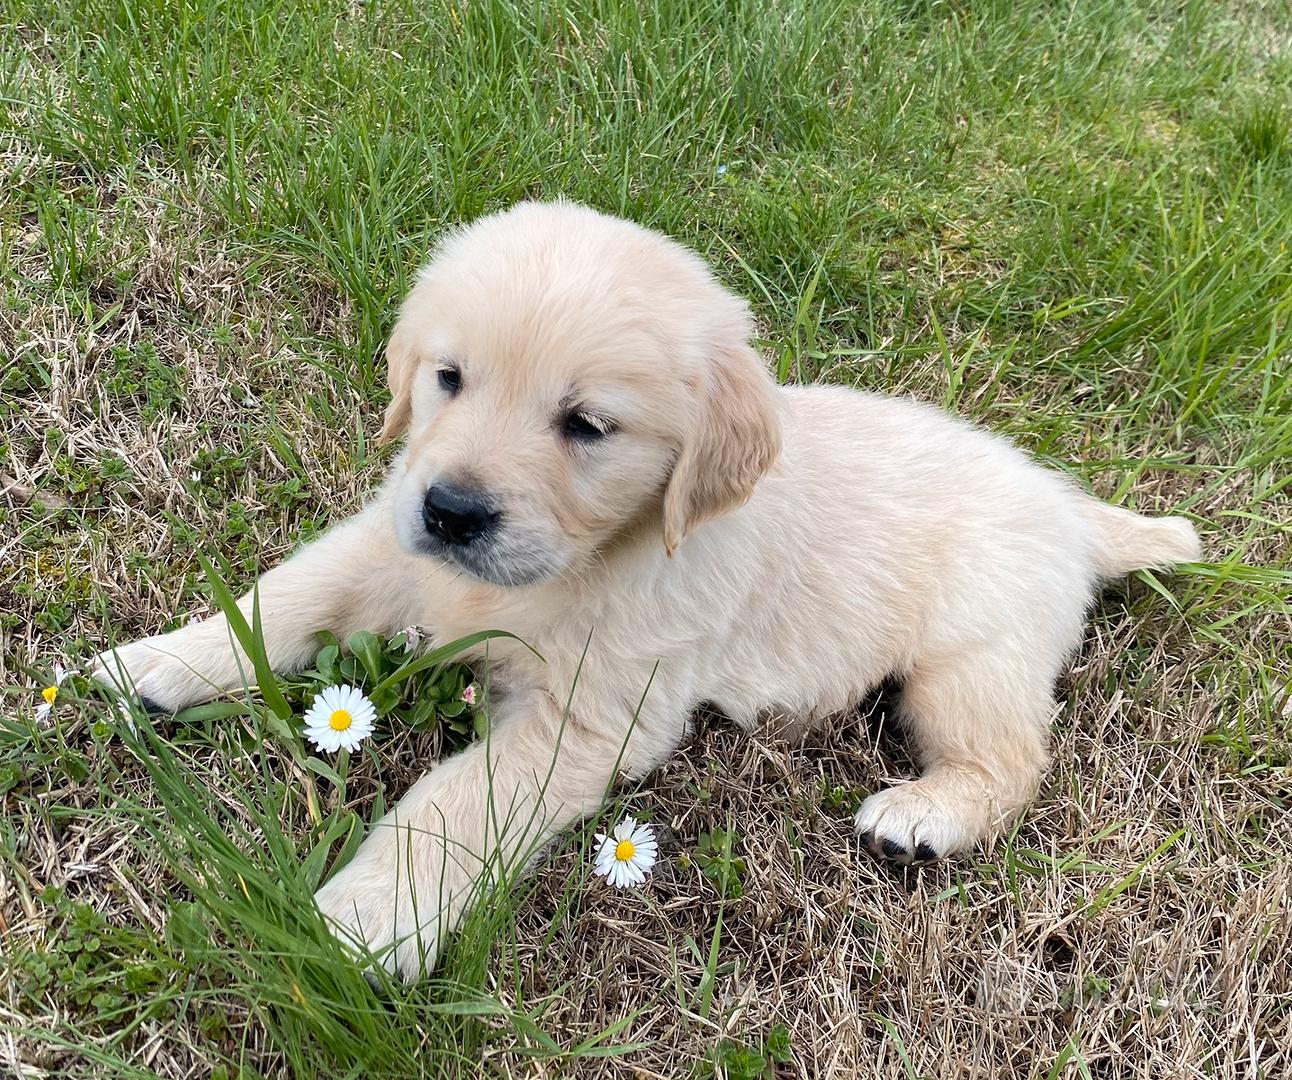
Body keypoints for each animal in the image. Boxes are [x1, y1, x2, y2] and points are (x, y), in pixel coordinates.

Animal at [98, 200, 1198, 976]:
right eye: (448, 378)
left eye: (586, 426)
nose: (452, 511)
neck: (585, 560)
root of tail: (1068, 507)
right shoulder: (388, 540)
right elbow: (289, 591)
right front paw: (152, 663)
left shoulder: (588, 722)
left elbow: (449, 803)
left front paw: (369, 919)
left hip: (972, 655)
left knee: (1013, 759)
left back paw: (924, 820)